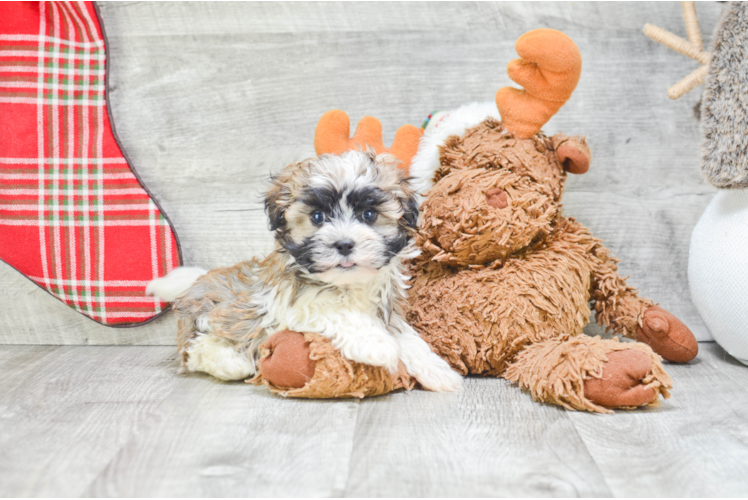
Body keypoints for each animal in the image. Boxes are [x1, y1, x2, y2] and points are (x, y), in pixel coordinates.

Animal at [146, 150, 462, 392]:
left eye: (369, 214)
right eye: (317, 217)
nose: (344, 244)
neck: (346, 284)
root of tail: (198, 281)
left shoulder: (385, 309)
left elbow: (406, 336)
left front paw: (437, 370)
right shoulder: (291, 304)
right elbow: (336, 309)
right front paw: (377, 344)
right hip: (210, 316)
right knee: (196, 349)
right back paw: (231, 361)